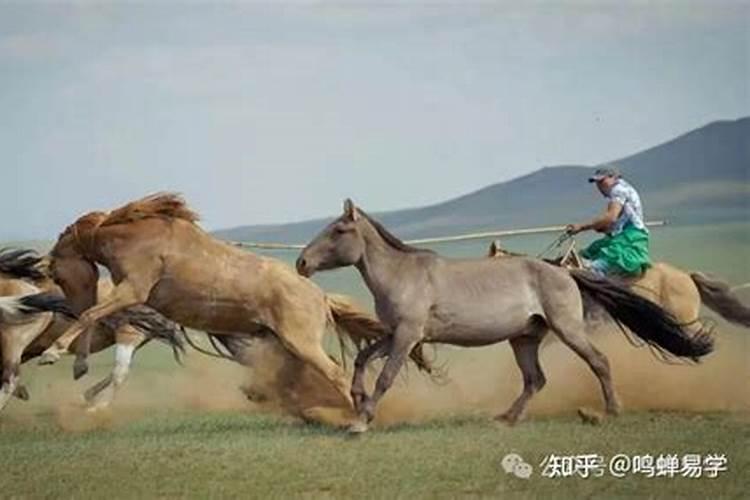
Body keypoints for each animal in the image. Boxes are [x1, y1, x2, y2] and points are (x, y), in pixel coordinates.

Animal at [36, 193, 427, 421]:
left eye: (56, 269)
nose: (65, 306)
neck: (135, 235)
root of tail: (320, 295)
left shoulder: (133, 290)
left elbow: (91, 315)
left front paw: (54, 354)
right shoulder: (128, 297)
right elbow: (93, 319)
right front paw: (79, 369)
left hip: (299, 342)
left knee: (335, 374)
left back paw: (350, 415)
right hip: (284, 343)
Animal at [296, 200, 714, 433]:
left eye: (339, 229)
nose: (301, 262)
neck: (403, 274)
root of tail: (564, 272)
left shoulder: (407, 336)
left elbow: (384, 377)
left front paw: (360, 422)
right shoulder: (398, 334)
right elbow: (363, 360)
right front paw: (356, 400)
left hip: (567, 330)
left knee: (599, 361)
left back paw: (610, 410)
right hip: (524, 338)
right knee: (535, 380)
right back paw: (507, 418)